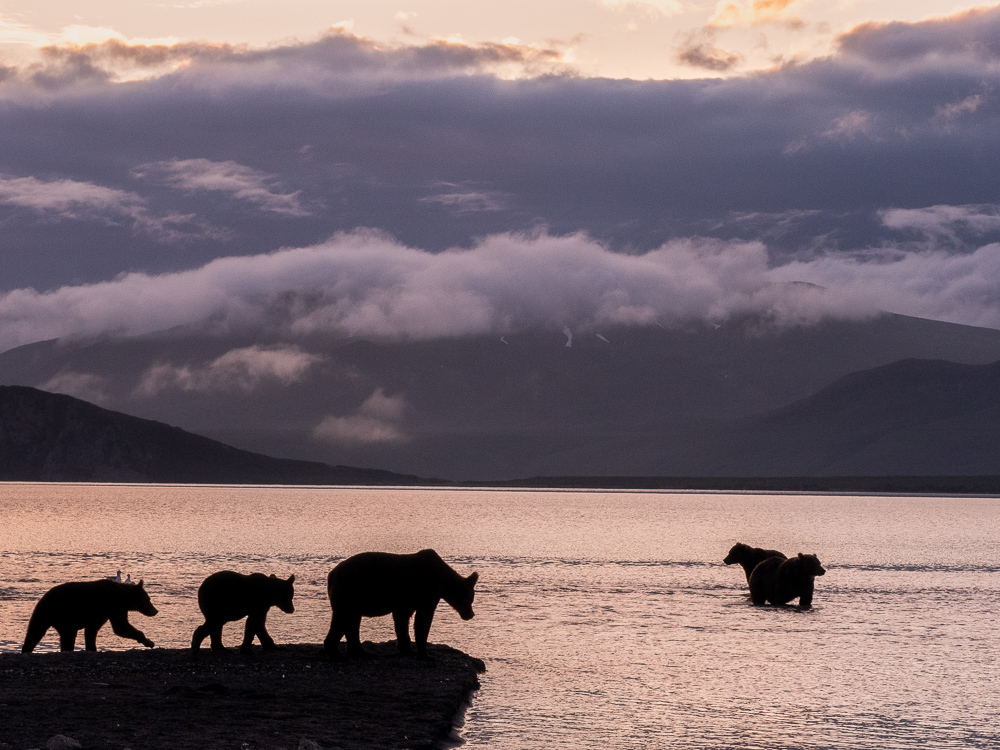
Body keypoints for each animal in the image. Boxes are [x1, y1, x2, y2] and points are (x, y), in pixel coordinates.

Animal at [22, 580, 158, 656]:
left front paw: (92, 647)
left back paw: (26, 649)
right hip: (65, 614)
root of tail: (43, 599)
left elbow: (92, 631)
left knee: (34, 633)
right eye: (148, 599)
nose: (155, 611)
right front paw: (149, 642)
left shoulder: (101, 614)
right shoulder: (114, 606)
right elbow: (121, 626)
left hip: (45, 615)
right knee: (67, 635)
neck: (125, 597)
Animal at [320, 548, 476, 660]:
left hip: (353, 598)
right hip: (350, 590)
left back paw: (361, 652)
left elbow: (402, 620)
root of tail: (331, 574)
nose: (471, 614)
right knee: (343, 618)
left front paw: (406, 648)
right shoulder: (426, 592)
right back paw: (336, 654)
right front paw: (425, 654)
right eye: (470, 599)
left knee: (351, 622)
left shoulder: (406, 601)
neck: (444, 580)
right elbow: (422, 621)